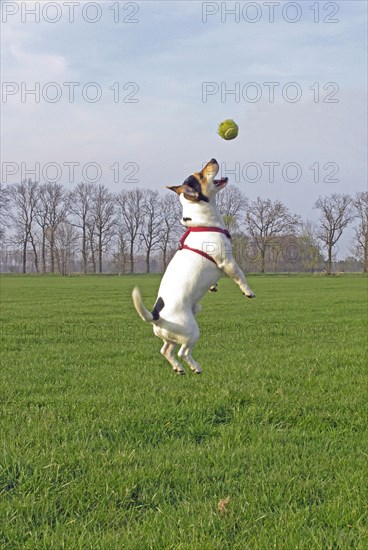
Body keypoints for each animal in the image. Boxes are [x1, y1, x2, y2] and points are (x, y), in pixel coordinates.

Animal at [132, 160, 256, 376]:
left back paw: (178, 368)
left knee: (166, 350)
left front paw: (214, 287)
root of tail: (155, 316)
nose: (213, 159)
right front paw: (248, 291)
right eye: (201, 175)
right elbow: (240, 276)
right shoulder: (228, 261)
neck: (201, 221)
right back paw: (195, 367)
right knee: (183, 352)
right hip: (192, 332)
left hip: (172, 336)